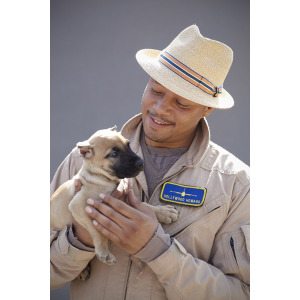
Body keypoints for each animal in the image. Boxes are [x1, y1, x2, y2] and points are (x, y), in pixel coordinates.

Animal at [50, 127, 179, 270]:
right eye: (114, 154)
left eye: (128, 145)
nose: (141, 163)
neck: (101, 177)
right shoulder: (79, 205)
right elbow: (97, 230)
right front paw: (104, 252)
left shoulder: (123, 199)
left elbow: (144, 205)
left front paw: (164, 212)